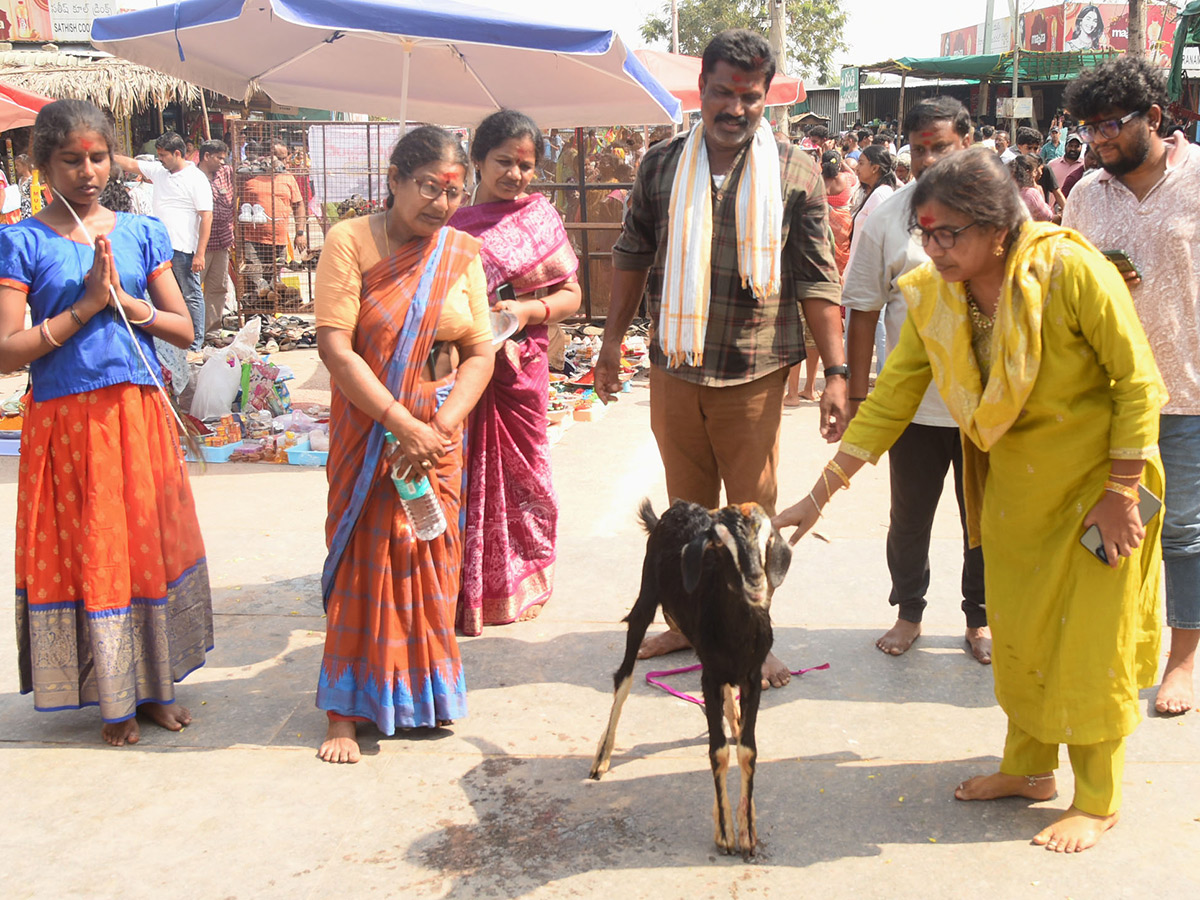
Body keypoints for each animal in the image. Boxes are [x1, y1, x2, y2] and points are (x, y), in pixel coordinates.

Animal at [588, 501, 792, 859]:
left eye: (766, 540)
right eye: (721, 546)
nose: (755, 582)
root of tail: (679, 508)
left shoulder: (752, 678)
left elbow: (748, 750)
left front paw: (748, 831)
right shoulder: (708, 677)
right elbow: (718, 751)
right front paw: (725, 833)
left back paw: (734, 721)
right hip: (646, 595)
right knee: (623, 676)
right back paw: (602, 756)